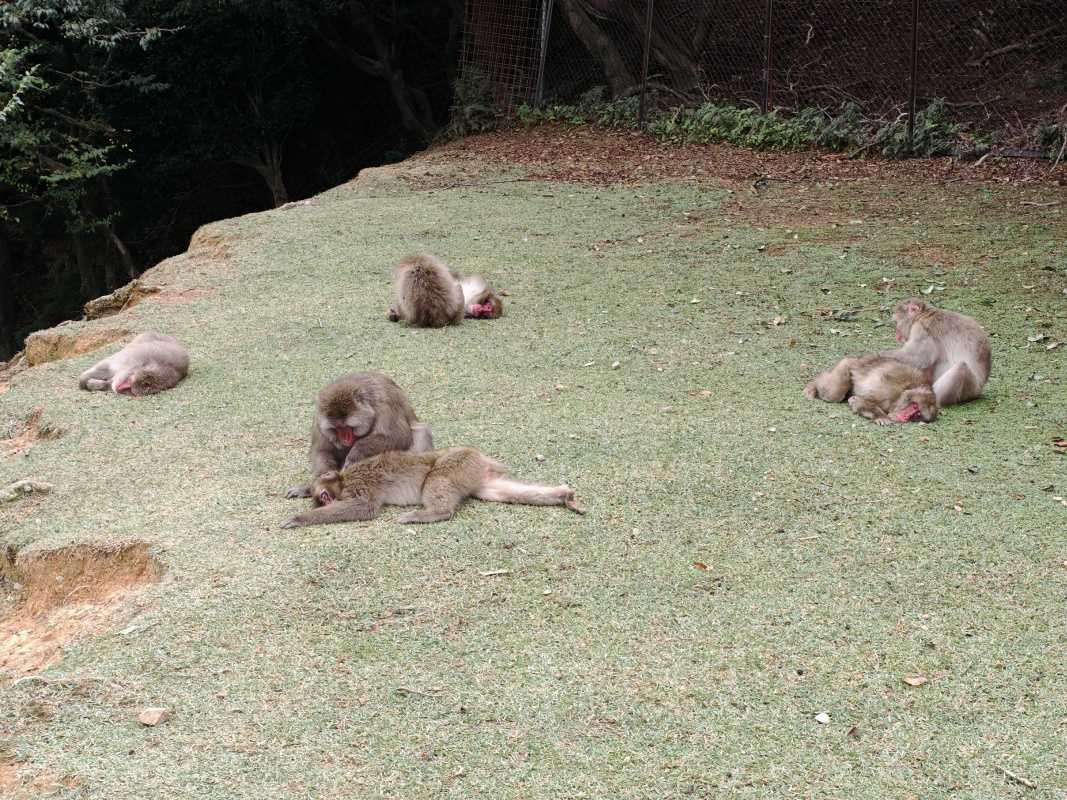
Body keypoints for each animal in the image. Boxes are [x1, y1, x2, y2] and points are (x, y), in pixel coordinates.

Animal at [281, 447, 584, 528]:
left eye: (324, 498)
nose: (327, 502)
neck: (343, 481)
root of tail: (478, 457)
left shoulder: (360, 485)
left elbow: (364, 508)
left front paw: (299, 518)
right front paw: (301, 489)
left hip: (456, 461)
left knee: (434, 481)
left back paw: (431, 513)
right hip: (476, 474)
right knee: (500, 491)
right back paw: (561, 495)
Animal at [285, 372, 433, 499]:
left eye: (347, 427)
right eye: (337, 428)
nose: (345, 439)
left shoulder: (386, 402)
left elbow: (399, 436)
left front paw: (355, 453)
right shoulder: (318, 417)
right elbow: (322, 450)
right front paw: (318, 484)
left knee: (421, 431)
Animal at [805, 354, 938, 425]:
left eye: (917, 415)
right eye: (914, 407)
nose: (904, 417)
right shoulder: (888, 391)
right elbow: (862, 399)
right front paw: (881, 417)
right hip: (847, 365)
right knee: (833, 394)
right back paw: (813, 385)